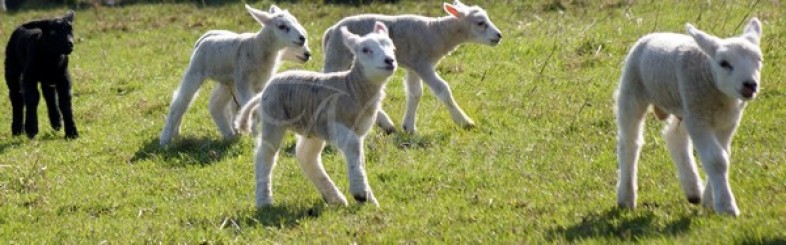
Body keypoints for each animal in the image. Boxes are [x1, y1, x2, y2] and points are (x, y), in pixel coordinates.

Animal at [158, 4, 308, 145]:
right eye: (282, 26)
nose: (302, 38)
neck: (257, 47)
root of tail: (203, 38)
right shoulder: (243, 79)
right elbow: (251, 108)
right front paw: (254, 133)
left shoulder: (261, 83)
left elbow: (256, 107)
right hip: (196, 70)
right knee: (180, 102)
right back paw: (165, 139)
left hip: (227, 80)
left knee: (215, 105)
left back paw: (228, 134)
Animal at [231, 22, 392, 208]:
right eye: (365, 50)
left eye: (392, 47)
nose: (390, 60)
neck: (352, 87)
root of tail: (264, 90)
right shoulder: (335, 122)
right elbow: (353, 146)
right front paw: (360, 193)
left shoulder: (357, 129)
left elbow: (360, 156)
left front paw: (370, 200)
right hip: (274, 119)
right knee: (265, 156)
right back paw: (264, 200)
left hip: (312, 127)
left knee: (305, 156)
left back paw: (333, 197)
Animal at [320, 0, 500, 134]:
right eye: (480, 23)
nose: (499, 35)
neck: (437, 32)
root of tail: (331, 30)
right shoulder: (422, 63)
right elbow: (442, 89)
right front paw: (464, 122)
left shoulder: (413, 66)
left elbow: (415, 93)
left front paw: (409, 127)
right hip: (337, 55)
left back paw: (386, 124)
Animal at [612, 17, 760, 216]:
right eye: (724, 63)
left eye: (759, 59)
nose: (750, 85)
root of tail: (655, 33)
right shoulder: (699, 120)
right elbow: (716, 159)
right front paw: (726, 206)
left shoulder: (727, 122)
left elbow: (723, 156)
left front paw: (709, 200)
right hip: (632, 91)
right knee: (629, 143)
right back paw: (626, 197)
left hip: (683, 106)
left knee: (675, 137)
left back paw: (693, 190)